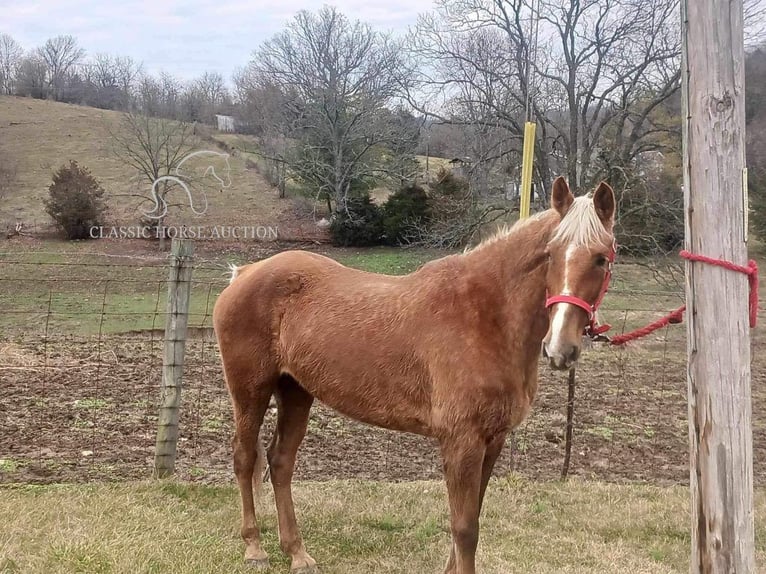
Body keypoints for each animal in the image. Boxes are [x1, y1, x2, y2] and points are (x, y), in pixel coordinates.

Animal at [214, 178, 616, 572]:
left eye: (601, 257)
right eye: (551, 254)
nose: (560, 348)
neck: (486, 316)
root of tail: (243, 275)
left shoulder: (493, 440)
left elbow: (470, 520)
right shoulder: (461, 442)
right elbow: (465, 528)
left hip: (295, 390)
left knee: (281, 462)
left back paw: (296, 553)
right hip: (250, 391)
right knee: (244, 458)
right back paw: (254, 547)